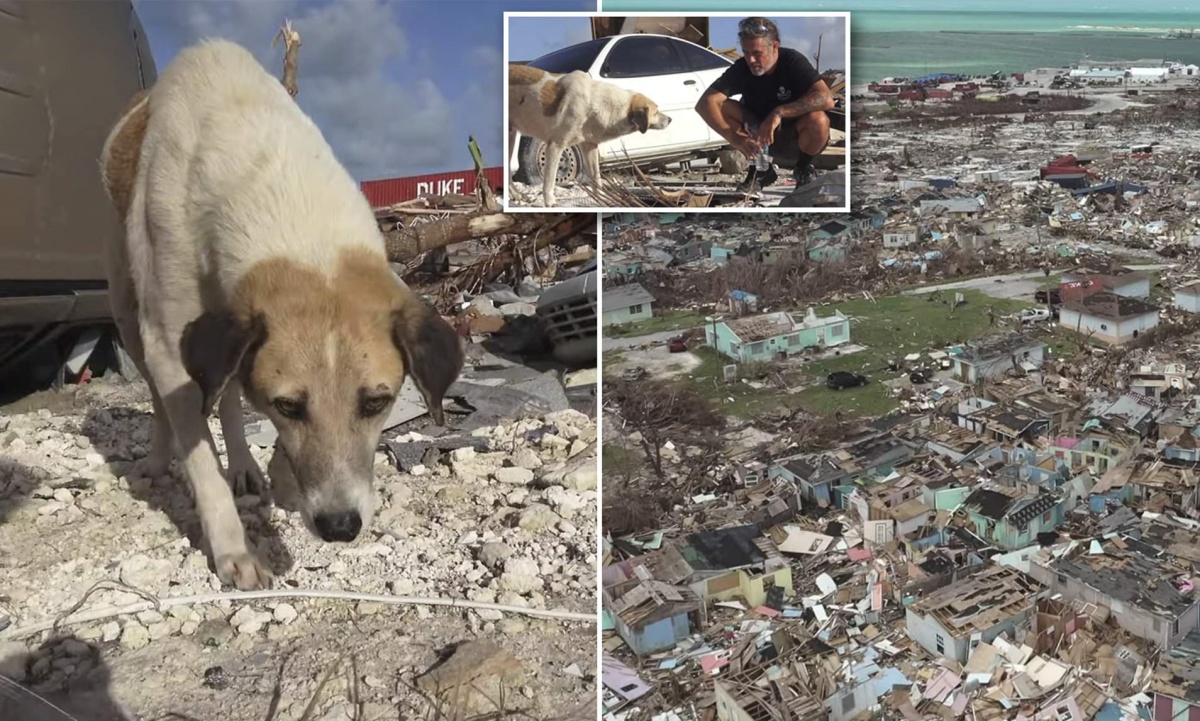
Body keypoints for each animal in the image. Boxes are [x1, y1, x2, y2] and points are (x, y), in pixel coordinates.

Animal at [98, 39, 460, 587]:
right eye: (287, 406)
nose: (339, 527)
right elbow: (201, 462)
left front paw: (280, 481)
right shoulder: (169, 345)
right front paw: (234, 551)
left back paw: (245, 465)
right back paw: (161, 459)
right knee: (165, 400)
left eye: (377, 402)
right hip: (128, 308)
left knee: (224, 396)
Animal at [508, 63, 676, 206]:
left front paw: (603, 200)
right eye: (656, 112)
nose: (670, 119)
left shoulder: (590, 146)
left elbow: (596, 177)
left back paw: (517, 195)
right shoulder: (555, 146)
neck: (596, 103)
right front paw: (550, 203)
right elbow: (549, 181)